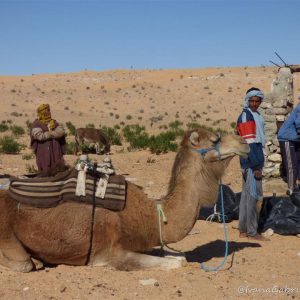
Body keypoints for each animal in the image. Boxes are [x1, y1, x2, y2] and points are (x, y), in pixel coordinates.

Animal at [0, 128, 248, 272]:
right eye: (215, 139)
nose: (244, 143)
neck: (151, 215)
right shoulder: (111, 253)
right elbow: (178, 262)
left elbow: (178, 255)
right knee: (24, 264)